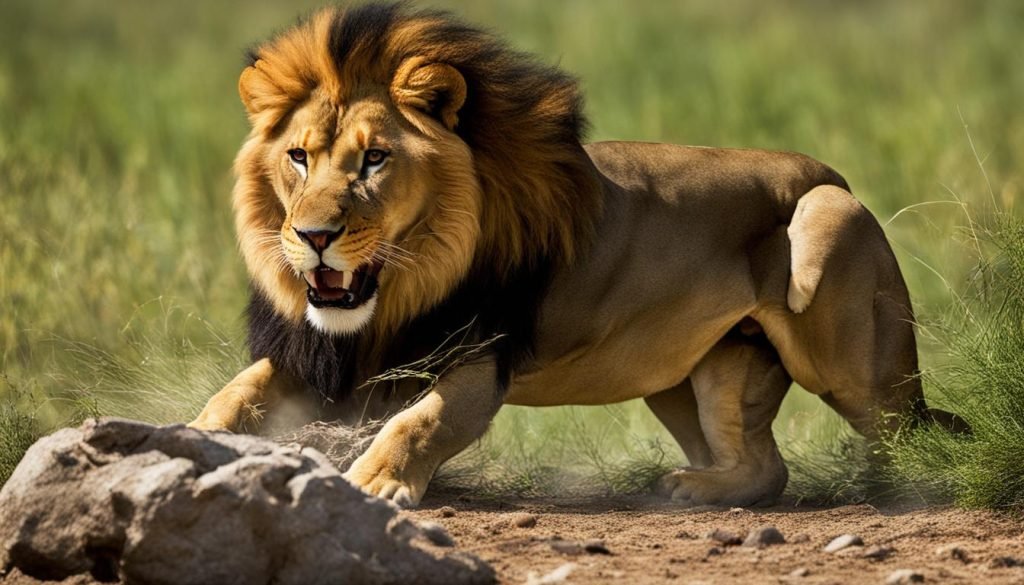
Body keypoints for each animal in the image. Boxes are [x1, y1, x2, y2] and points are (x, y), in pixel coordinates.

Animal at [190, 3, 962, 507]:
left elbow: (420, 421)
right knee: (764, 465)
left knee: (912, 436)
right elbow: (235, 393)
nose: (313, 236)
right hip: (693, 375)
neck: (398, 290)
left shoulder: (477, 356)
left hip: (837, 280)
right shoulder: (324, 353)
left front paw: (375, 483)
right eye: (299, 157)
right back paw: (690, 488)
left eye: (374, 160)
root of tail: (824, 170)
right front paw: (190, 441)